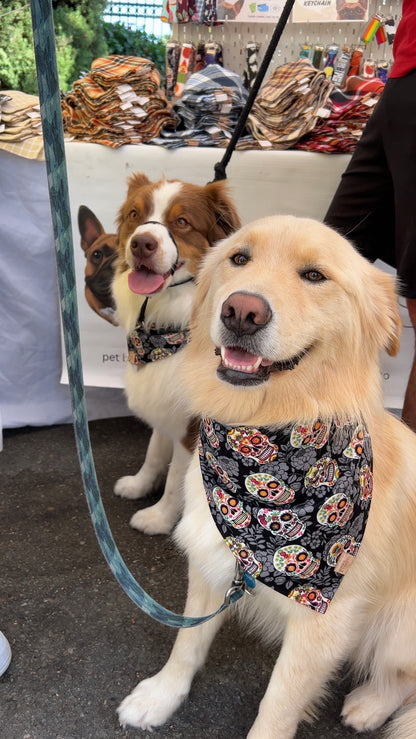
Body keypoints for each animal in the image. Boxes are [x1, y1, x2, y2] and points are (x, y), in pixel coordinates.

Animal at [112, 172, 240, 536]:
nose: (142, 243)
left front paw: (159, 518)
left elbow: (175, 478)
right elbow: (154, 453)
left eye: (181, 222)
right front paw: (139, 485)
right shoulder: (165, 401)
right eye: (135, 215)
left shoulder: (192, 428)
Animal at [116, 217, 416, 736]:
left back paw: (371, 704)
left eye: (315, 275)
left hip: (401, 627)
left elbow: (278, 704)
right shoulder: (212, 560)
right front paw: (160, 696)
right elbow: (186, 644)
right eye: (239, 258)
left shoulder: (324, 622)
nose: (242, 311)